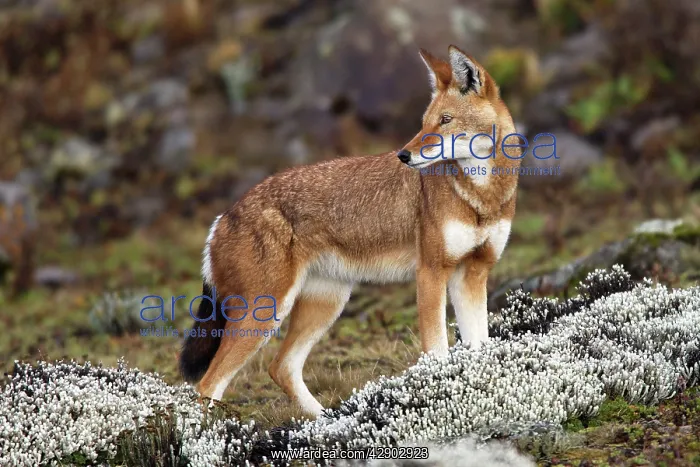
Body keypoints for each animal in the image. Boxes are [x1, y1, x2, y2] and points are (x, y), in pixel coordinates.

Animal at [179, 45, 522, 417]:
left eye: (445, 120)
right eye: (424, 123)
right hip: (266, 315)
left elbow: (481, 349)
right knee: (206, 386)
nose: (404, 155)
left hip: (325, 305)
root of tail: (222, 217)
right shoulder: (431, 273)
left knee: (280, 367)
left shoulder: (472, 274)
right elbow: (437, 352)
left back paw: (325, 423)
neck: (480, 197)